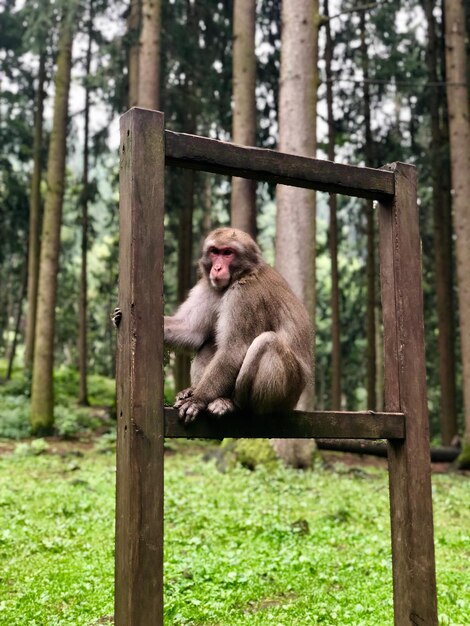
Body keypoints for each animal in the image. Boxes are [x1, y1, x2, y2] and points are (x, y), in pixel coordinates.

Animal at [163, 227, 314, 422]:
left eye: (228, 252)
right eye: (215, 252)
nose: (217, 268)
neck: (241, 275)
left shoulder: (245, 297)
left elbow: (234, 350)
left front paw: (198, 399)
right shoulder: (209, 288)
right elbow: (191, 330)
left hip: (288, 394)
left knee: (266, 342)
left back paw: (232, 404)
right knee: (209, 342)